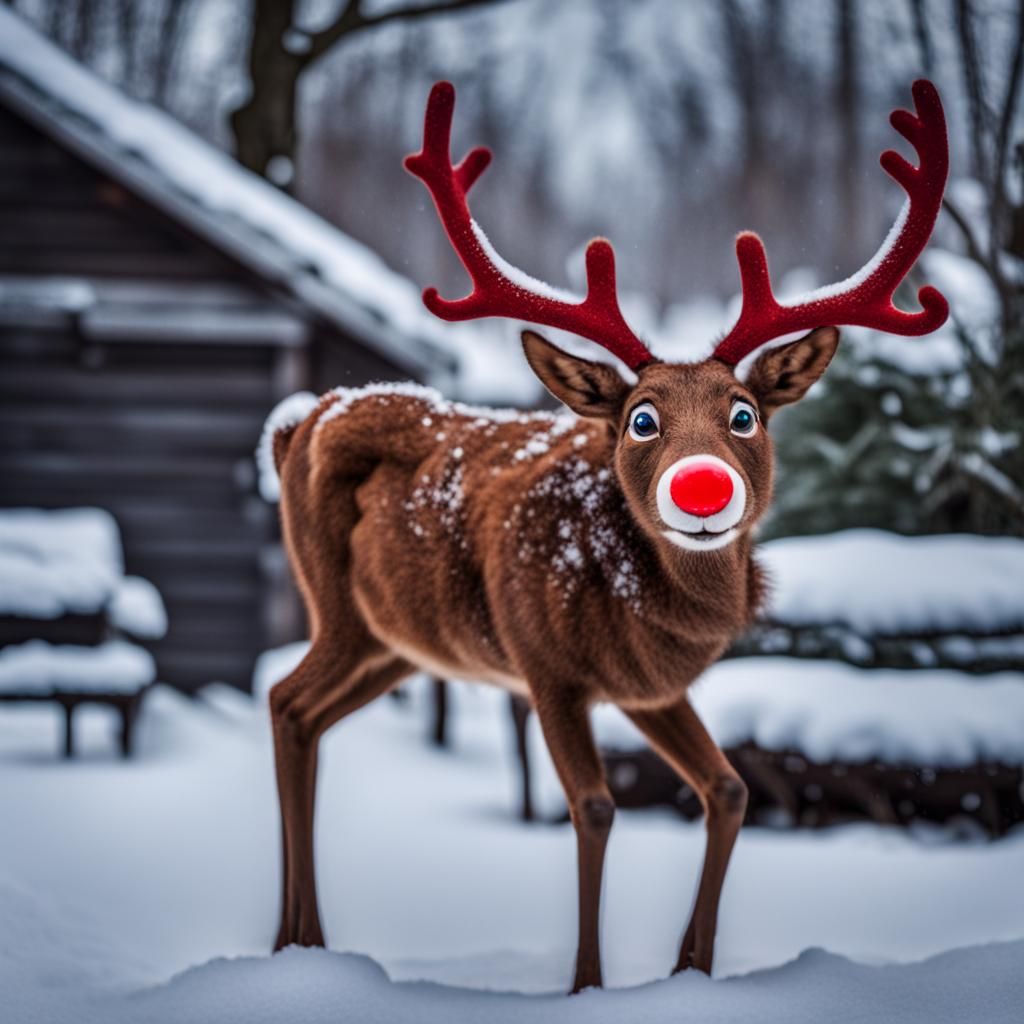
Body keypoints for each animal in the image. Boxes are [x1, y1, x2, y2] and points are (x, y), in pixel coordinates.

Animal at [265, 79, 948, 991]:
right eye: (641, 418)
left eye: (745, 414)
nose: (703, 485)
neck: (645, 610)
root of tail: (295, 423)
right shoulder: (545, 665)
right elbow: (593, 808)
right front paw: (586, 985)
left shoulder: (648, 687)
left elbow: (728, 789)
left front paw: (692, 970)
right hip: (336, 608)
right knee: (285, 700)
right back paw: (295, 947)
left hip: (397, 643)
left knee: (304, 714)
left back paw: (299, 944)